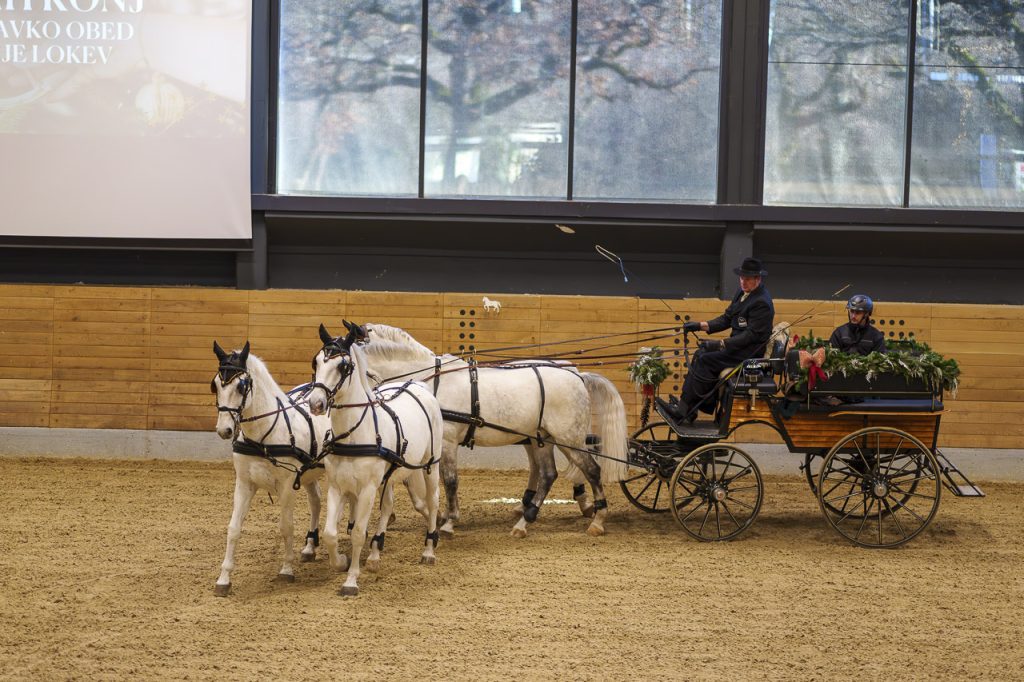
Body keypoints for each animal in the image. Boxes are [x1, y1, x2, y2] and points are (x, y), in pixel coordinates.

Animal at [210, 341, 329, 597]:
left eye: (241, 386)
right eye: (215, 385)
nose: (224, 430)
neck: (264, 435)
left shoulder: (287, 485)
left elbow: (286, 526)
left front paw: (286, 569)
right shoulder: (244, 484)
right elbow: (234, 528)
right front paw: (224, 579)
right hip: (309, 474)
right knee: (316, 501)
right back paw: (309, 547)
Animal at [308, 322, 443, 597]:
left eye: (343, 366)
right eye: (315, 362)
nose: (315, 403)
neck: (355, 432)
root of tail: (418, 385)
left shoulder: (368, 488)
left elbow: (358, 532)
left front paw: (351, 580)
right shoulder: (337, 487)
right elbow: (329, 533)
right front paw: (340, 562)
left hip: (430, 465)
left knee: (433, 501)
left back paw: (428, 550)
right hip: (389, 476)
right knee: (388, 505)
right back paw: (375, 554)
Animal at [338, 321, 628, 538]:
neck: (428, 381)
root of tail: (577, 375)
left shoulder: (447, 441)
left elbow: (450, 480)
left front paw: (448, 521)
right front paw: (436, 514)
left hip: (569, 437)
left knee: (591, 470)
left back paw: (597, 518)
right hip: (542, 438)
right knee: (548, 474)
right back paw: (525, 520)